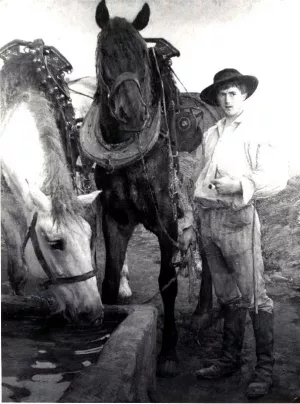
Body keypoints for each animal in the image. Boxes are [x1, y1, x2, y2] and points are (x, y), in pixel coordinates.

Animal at [80, 0, 192, 374]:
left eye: (142, 53)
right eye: (104, 52)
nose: (133, 113)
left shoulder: (167, 219)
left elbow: (167, 282)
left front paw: (168, 351)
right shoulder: (115, 218)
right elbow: (109, 283)